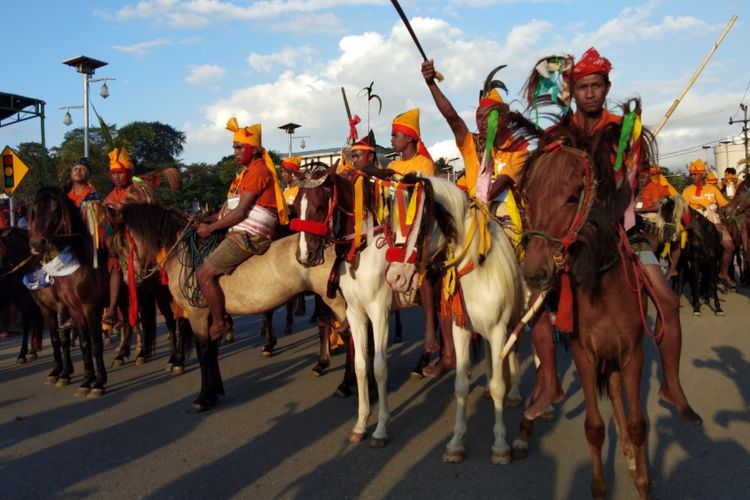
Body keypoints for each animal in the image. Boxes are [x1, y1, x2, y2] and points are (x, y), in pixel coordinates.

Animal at [27, 188, 110, 398]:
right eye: (34, 211)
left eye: (57, 210)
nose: (37, 244)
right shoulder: (67, 309)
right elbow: (78, 342)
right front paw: (84, 380)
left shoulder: (88, 307)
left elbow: (94, 343)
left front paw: (98, 382)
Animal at [117, 201, 350, 412]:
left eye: (121, 244)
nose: (129, 280)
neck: (182, 254)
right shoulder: (211, 314)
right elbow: (212, 349)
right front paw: (214, 391)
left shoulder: (197, 313)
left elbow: (203, 351)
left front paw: (203, 396)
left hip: (337, 301)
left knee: (350, 336)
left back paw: (346, 385)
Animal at [524, 143, 652, 498]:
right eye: (528, 197)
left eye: (572, 197)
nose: (534, 272)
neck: (603, 290)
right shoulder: (586, 354)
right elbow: (594, 427)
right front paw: (600, 487)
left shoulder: (633, 353)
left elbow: (638, 424)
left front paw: (643, 484)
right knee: (614, 388)